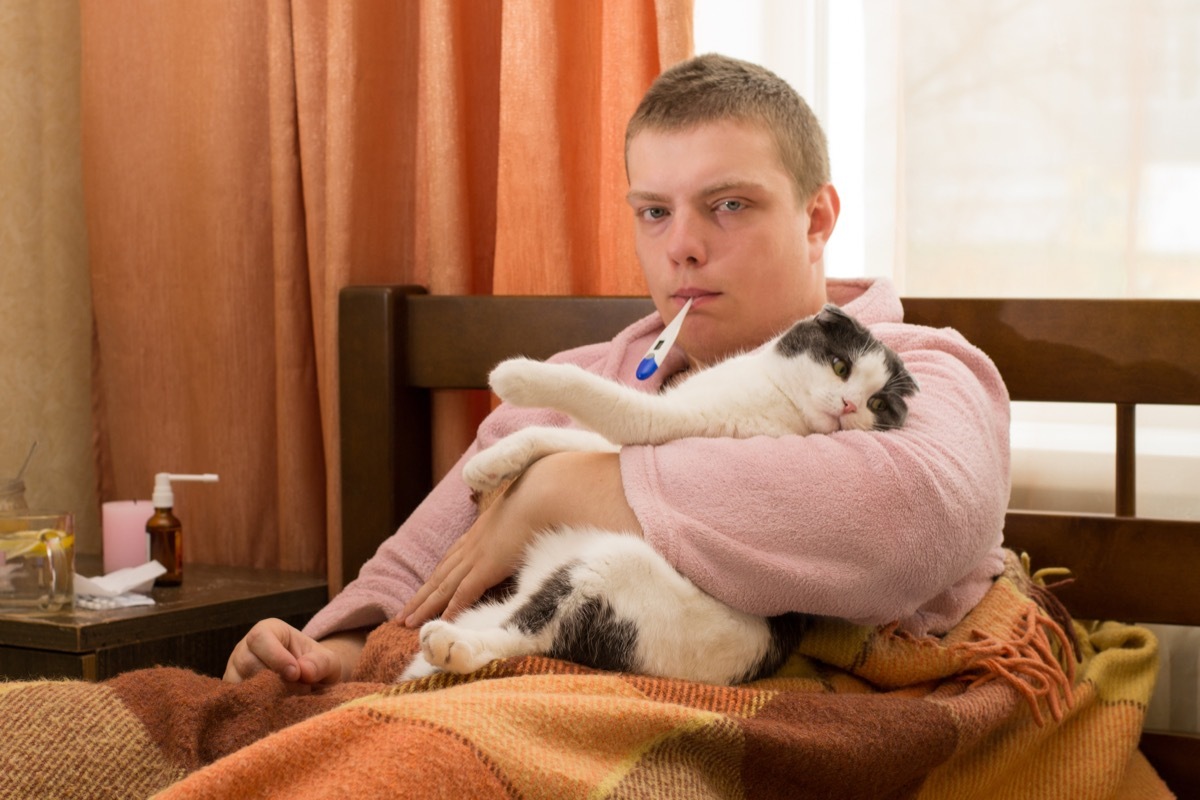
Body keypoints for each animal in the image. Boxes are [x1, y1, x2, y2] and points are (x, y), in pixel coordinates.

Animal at [403, 303, 916, 686]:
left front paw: (514, 376)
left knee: (528, 638)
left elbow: (598, 397)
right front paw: (487, 466)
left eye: (877, 404)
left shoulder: (661, 422)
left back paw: (452, 645)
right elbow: (559, 439)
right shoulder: (629, 445)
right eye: (840, 365)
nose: (850, 406)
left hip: (609, 572)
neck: (774, 395)